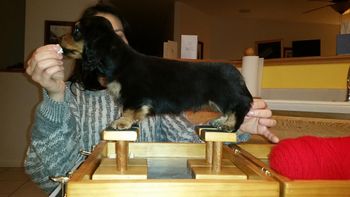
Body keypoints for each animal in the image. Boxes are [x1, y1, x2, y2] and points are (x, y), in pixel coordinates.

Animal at [59, 15, 252, 132]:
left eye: (76, 31)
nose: (59, 38)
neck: (118, 60)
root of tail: (238, 74)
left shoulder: (134, 95)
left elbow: (128, 110)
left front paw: (122, 122)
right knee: (229, 110)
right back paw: (220, 121)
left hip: (225, 96)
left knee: (239, 108)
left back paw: (229, 125)